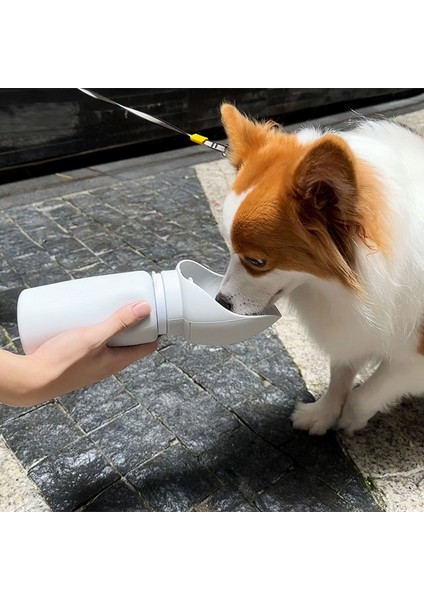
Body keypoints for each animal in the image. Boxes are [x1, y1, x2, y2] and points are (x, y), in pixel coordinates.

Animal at [217, 104, 424, 436]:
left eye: (257, 261)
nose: (220, 302)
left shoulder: (415, 358)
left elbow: (367, 393)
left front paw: (350, 420)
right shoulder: (352, 323)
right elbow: (340, 371)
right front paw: (323, 413)